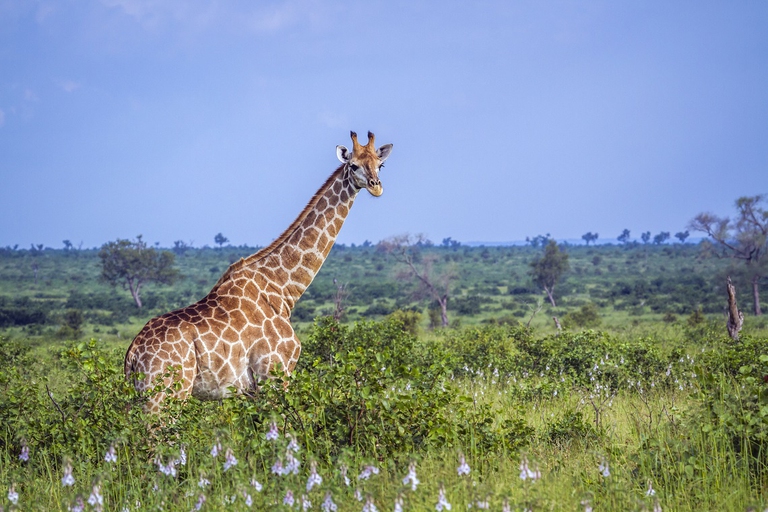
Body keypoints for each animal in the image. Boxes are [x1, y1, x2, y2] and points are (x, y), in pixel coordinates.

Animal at [124, 131, 393, 411]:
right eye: (353, 165)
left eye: (380, 164)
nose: (376, 186)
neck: (283, 287)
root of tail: (132, 354)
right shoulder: (275, 374)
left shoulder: (250, 390)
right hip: (166, 395)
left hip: (142, 397)